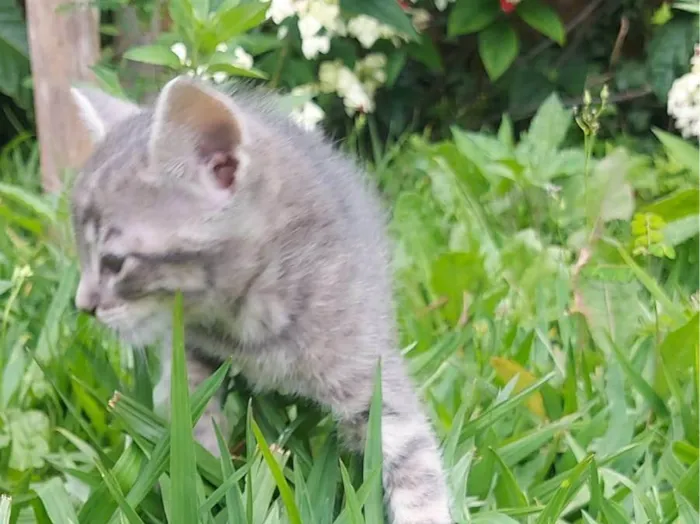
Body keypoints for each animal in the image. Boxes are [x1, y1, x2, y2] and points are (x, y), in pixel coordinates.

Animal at [71, 75, 452, 520]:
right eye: (82, 256)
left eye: (114, 263)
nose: (83, 306)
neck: (247, 316)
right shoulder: (191, 354)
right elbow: (191, 421)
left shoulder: (368, 371)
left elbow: (415, 466)